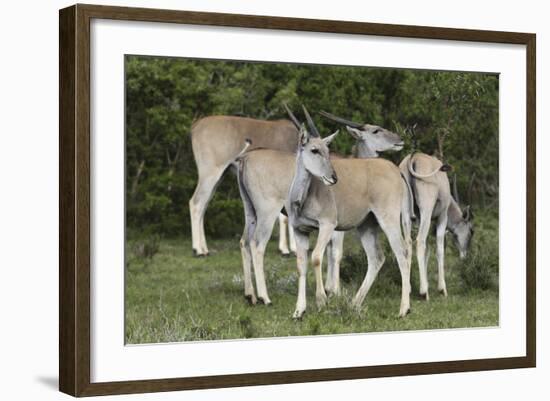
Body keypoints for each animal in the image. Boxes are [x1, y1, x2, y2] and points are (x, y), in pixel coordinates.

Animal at [191, 115, 302, 256]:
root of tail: (197, 125)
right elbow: (285, 218)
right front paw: (287, 249)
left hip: (218, 178)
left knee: (203, 206)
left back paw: (204, 248)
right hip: (210, 175)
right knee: (196, 203)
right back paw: (198, 250)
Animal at [238, 106, 414, 318]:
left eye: (327, 150)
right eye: (376, 130)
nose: (400, 140)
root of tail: (396, 171)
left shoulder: (329, 226)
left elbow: (318, 257)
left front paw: (324, 297)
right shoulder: (310, 229)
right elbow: (312, 260)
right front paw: (312, 303)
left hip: (380, 221)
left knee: (396, 253)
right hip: (267, 213)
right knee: (256, 244)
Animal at [398, 152, 476, 298]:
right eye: (471, 231)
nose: (464, 256)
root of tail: (414, 157)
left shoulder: (419, 220)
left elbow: (427, 251)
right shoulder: (442, 218)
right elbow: (439, 248)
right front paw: (441, 289)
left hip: (406, 214)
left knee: (408, 242)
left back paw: (409, 288)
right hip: (426, 212)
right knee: (420, 241)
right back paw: (424, 292)